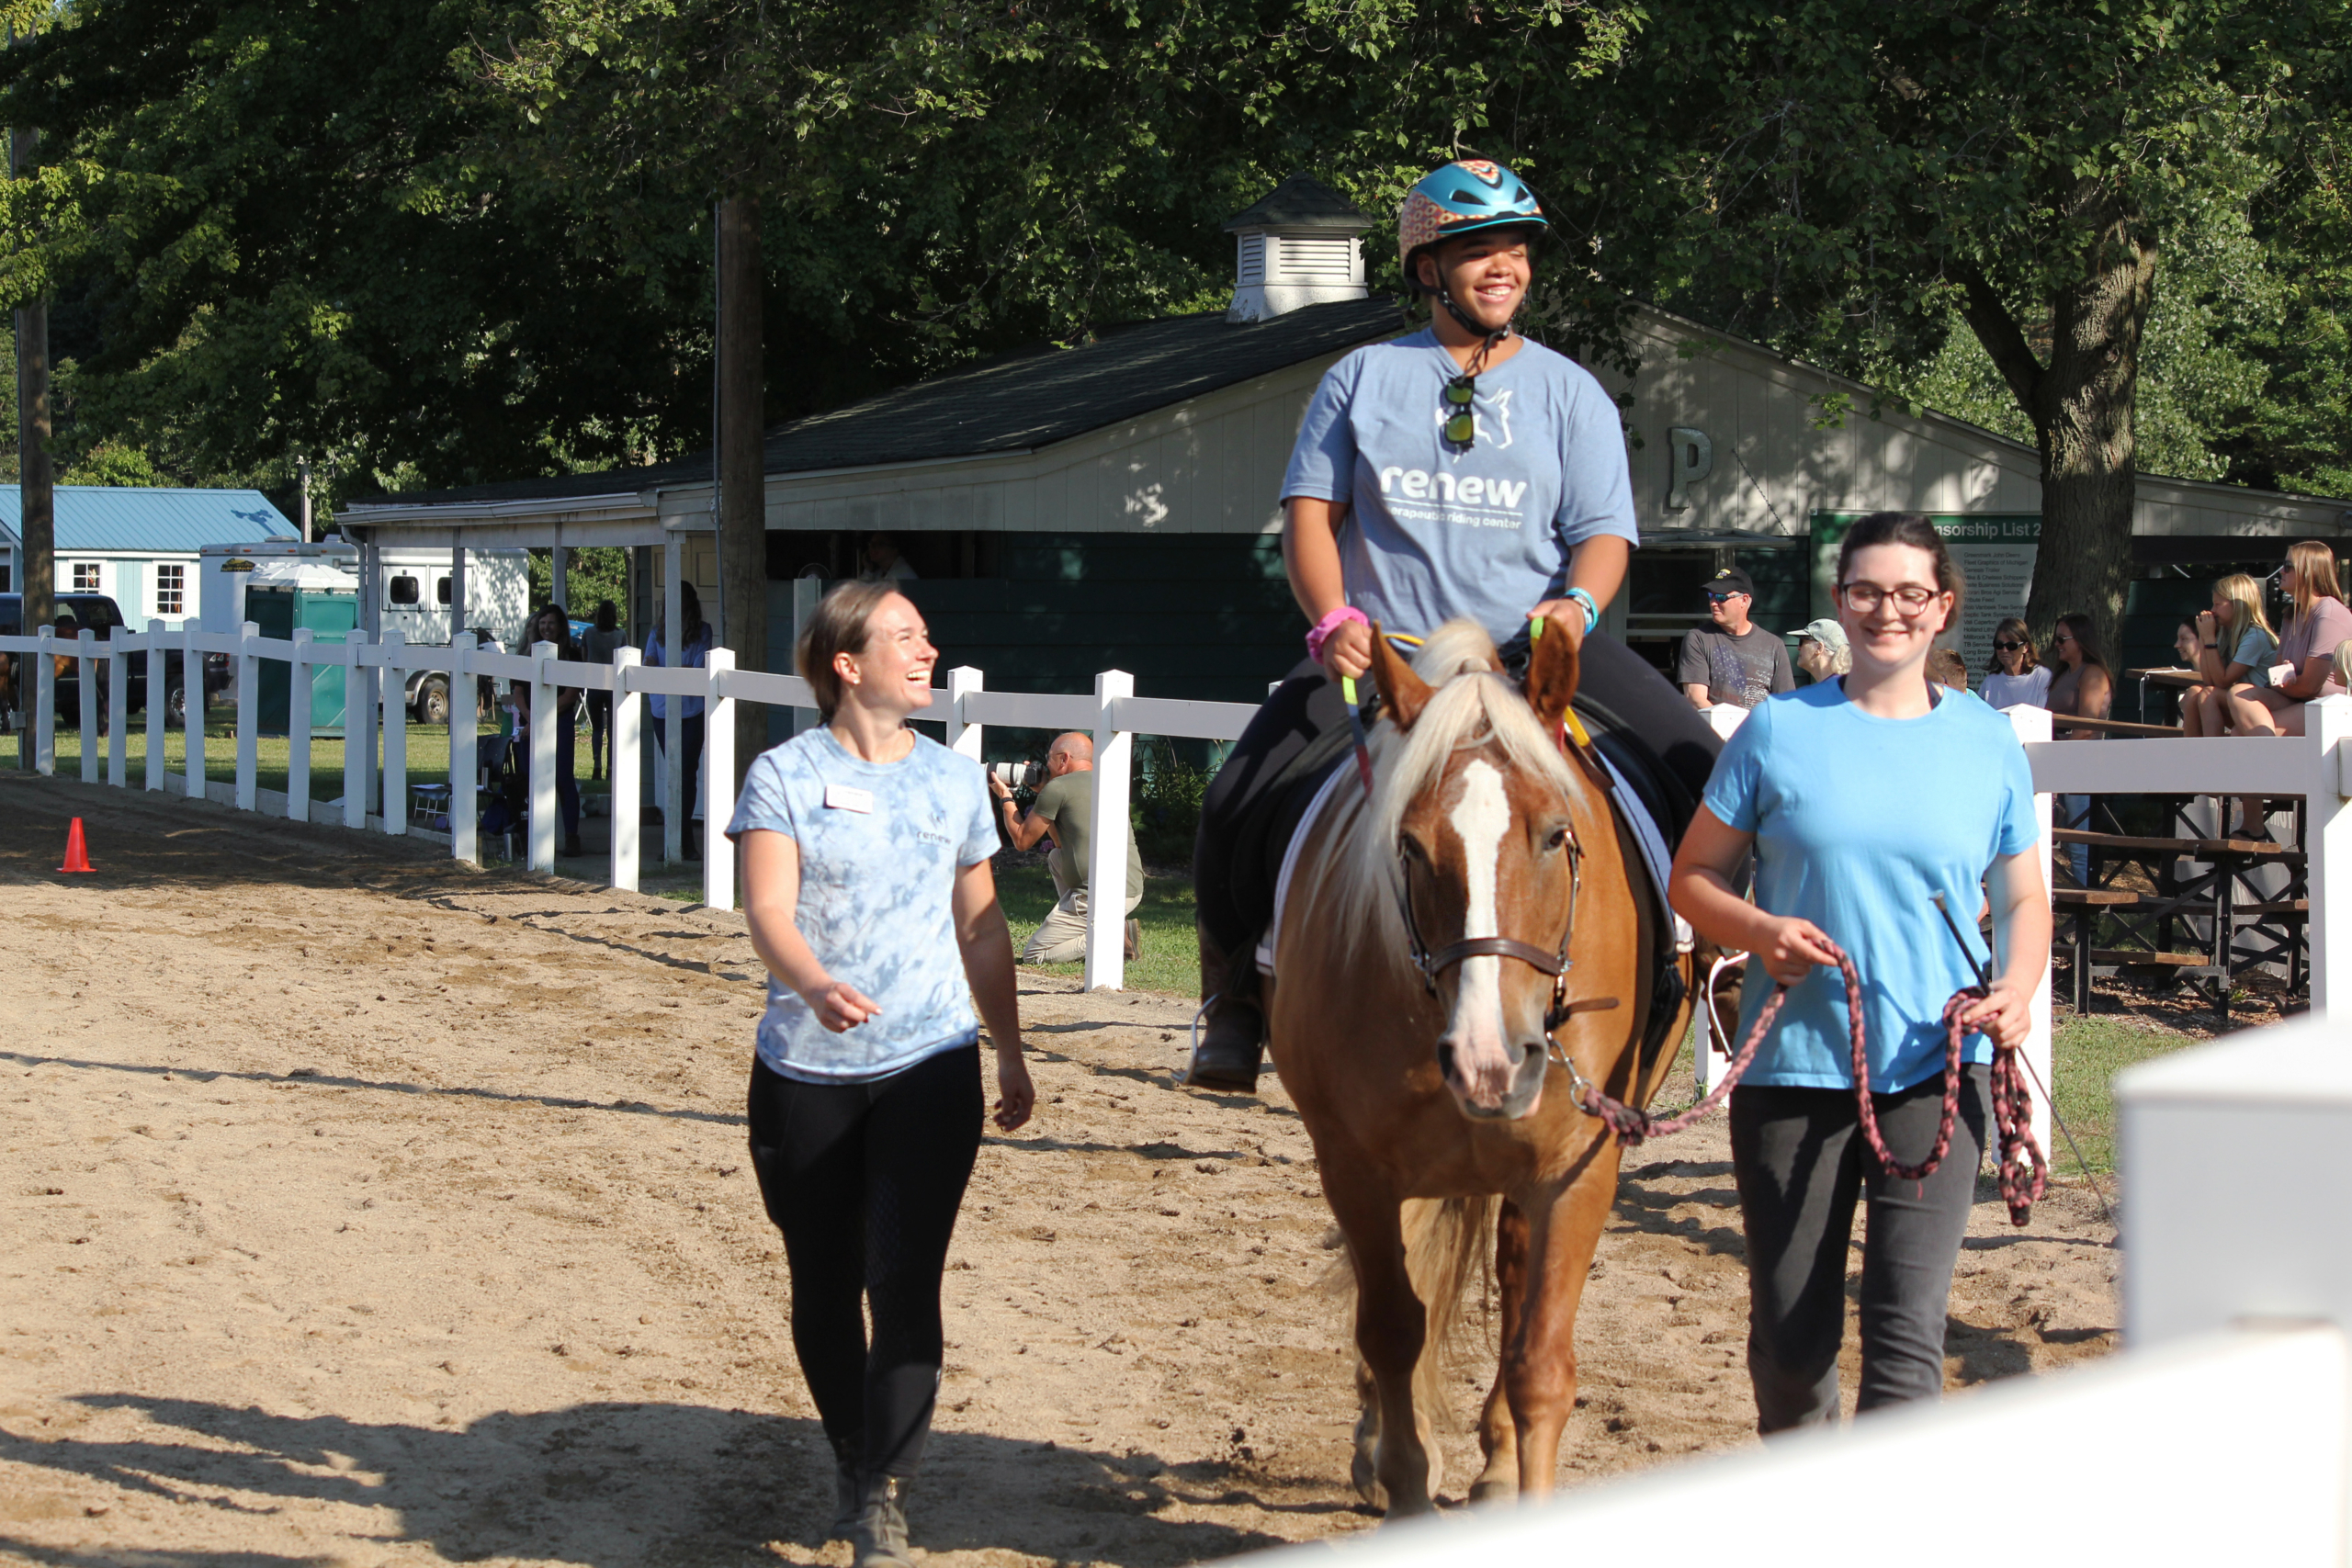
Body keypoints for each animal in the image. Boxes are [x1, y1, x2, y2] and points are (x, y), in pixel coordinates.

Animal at [1261, 620, 1702, 1514]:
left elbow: (1540, 1363)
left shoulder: (1576, 1169)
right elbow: (1393, 1328)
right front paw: (1401, 1475)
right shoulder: (1355, 1168)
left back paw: (1494, 1464)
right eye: (1409, 845)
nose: (1490, 1059)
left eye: (1557, 834)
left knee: (1512, 1278)